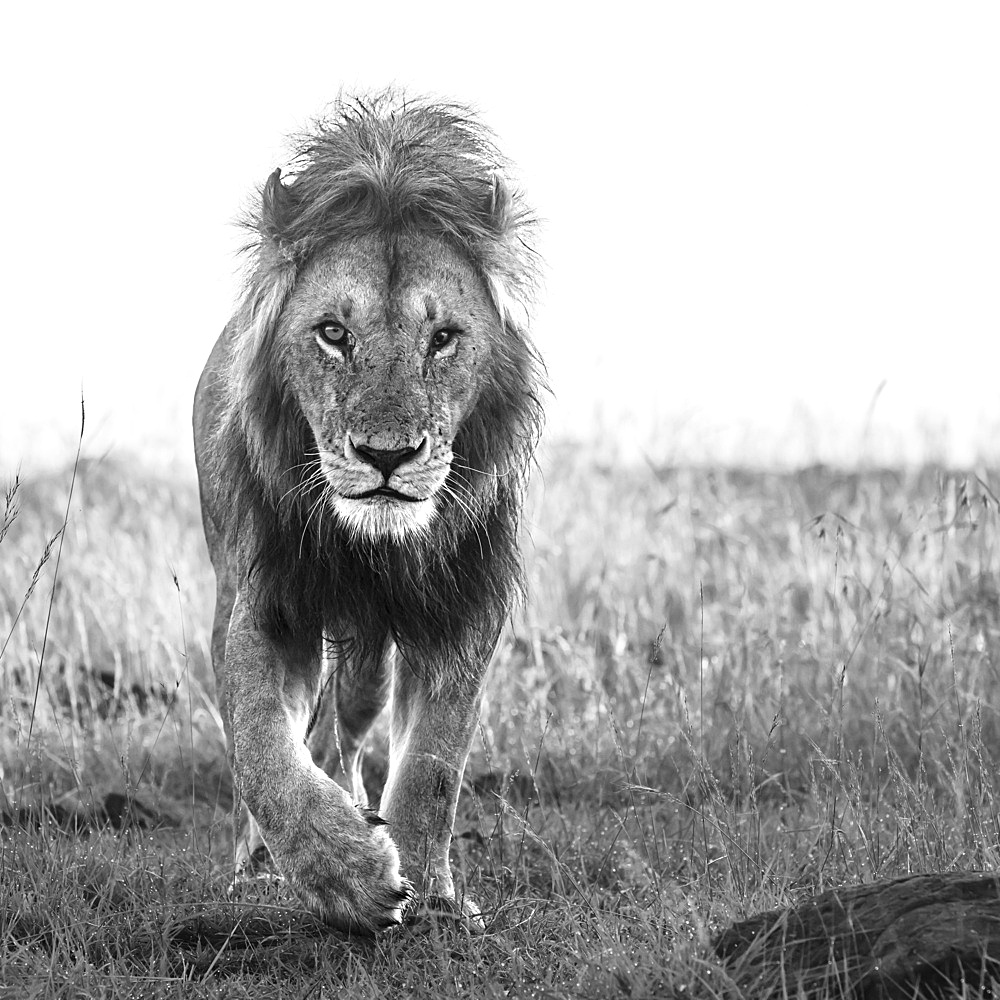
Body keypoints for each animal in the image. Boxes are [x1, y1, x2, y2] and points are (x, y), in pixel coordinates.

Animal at [191, 94, 544, 936]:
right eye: (332, 334)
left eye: (442, 338)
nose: (387, 456)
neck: (376, 549)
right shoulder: (268, 602)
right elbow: (261, 747)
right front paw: (340, 871)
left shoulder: (462, 607)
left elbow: (435, 764)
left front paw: (430, 891)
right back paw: (263, 863)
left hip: (369, 662)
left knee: (341, 727)